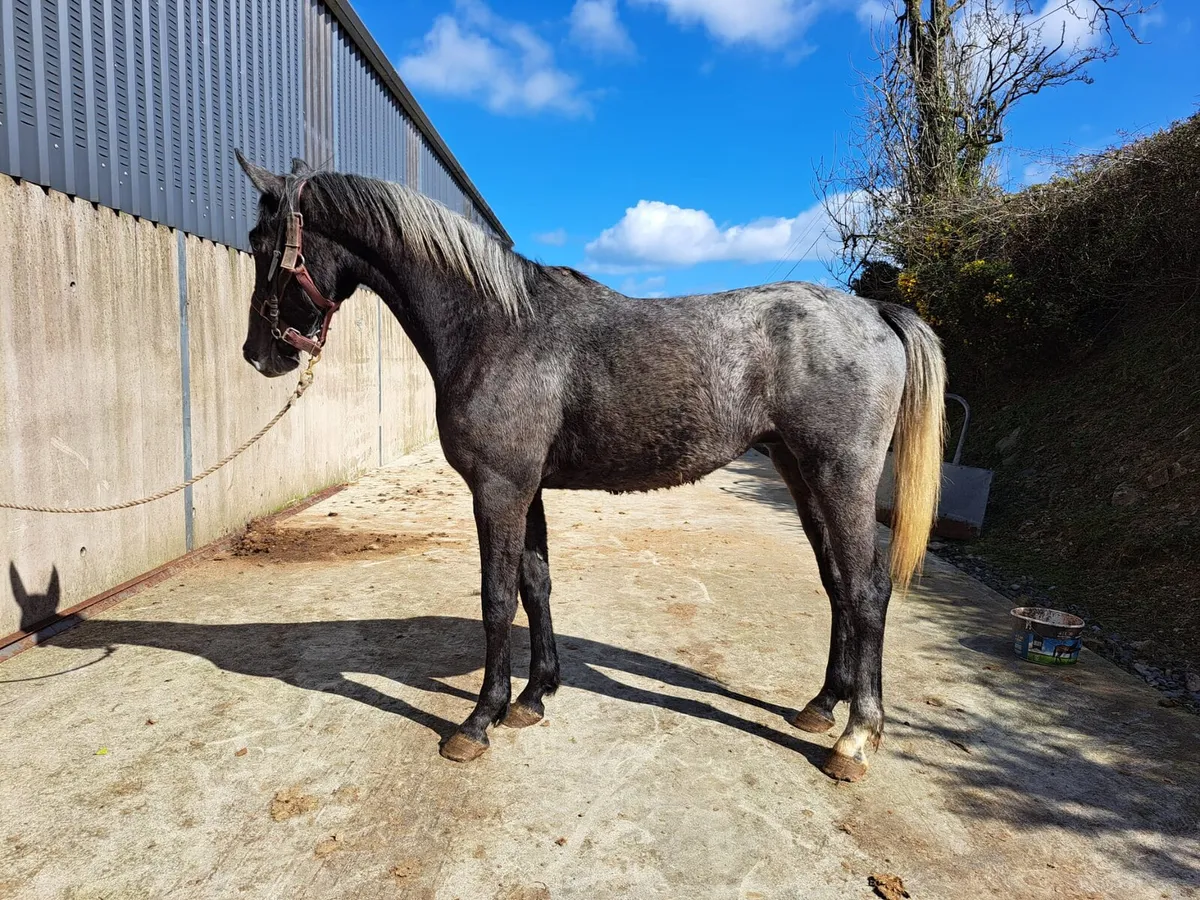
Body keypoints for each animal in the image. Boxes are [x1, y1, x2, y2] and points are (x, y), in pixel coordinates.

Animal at [234, 153, 946, 782]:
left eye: (261, 241)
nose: (258, 354)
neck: (496, 327)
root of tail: (874, 313)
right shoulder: (525, 490)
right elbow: (535, 585)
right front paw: (533, 696)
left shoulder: (497, 490)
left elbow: (497, 599)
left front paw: (478, 721)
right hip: (803, 477)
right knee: (837, 586)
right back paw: (822, 705)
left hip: (841, 477)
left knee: (867, 590)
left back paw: (856, 739)